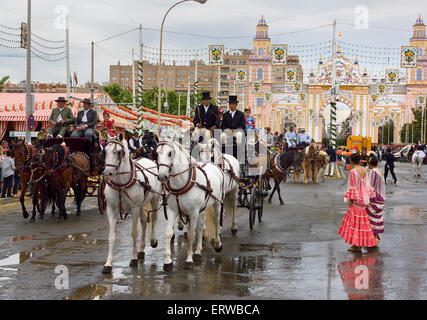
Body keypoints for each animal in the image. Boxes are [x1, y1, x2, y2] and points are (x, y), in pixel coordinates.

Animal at [102, 134, 162, 274]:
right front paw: (108, 263)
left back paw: (152, 240)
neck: (121, 184)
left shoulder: (134, 209)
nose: (107, 173)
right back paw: (141, 250)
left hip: (154, 199)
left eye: (119, 152)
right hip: (140, 205)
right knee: (144, 221)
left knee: (154, 218)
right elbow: (111, 236)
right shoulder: (111, 210)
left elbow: (134, 233)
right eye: (104, 151)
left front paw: (133, 258)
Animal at [156, 139, 224, 272]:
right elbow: (168, 232)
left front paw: (188, 259)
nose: (162, 176)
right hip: (202, 209)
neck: (182, 184)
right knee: (201, 225)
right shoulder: (173, 210)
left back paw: (217, 244)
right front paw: (167, 261)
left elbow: (191, 235)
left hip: (217, 203)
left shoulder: (193, 212)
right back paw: (197, 251)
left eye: (170, 153)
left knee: (216, 221)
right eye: (156, 153)